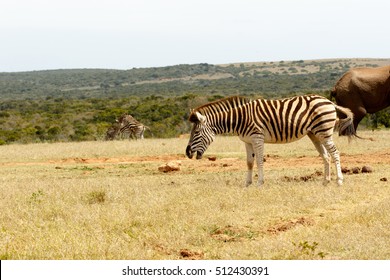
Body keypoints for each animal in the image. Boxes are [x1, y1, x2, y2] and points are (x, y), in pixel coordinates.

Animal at [186, 95, 356, 187]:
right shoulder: (247, 141)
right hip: (314, 134)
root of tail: (329, 101)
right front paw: (247, 184)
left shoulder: (257, 138)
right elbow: (249, 162)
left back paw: (339, 181)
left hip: (324, 131)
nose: (187, 153)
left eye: (196, 132)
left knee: (335, 153)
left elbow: (259, 160)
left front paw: (260, 183)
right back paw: (325, 181)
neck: (240, 119)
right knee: (325, 155)